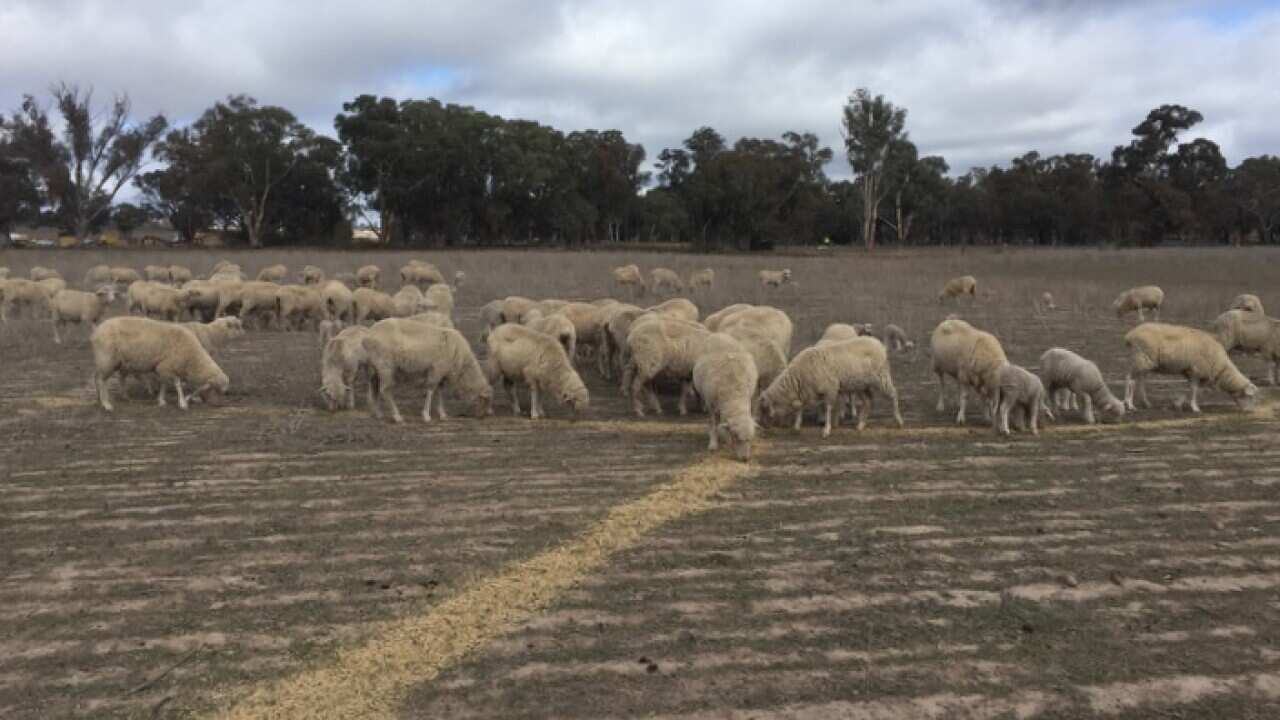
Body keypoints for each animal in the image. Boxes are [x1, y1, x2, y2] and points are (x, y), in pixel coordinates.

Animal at [91, 316, 230, 412]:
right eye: (216, 390)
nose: (220, 405)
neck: (192, 358)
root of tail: (96, 332)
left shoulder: (163, 368)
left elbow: (164, 384)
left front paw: (162, 400)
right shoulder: (167, 366)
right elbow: (177, 384)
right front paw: (182, 403)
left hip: (114, 361)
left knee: (100, 377)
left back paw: (108, 398)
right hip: (107, 359)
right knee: (102, 380)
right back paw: (106, 404)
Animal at [363, 318, 493, 423]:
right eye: (484, 401)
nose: (482, 417)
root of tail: (369, 334)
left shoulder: (442, 373)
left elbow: (440, 391)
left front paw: (442, 414)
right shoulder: (436, 369)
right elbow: (431, 390)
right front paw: (426, 415)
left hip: (375, 369)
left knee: (374, 389)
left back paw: (378, 413)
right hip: (385, 366)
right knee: (385, 390)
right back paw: (397, 416)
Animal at [693, 333, 758, 461]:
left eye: (750, 439)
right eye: (736, 437)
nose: (745, 459)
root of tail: (718, 334)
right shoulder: (711, 404)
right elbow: (713, 423)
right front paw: (713, 444)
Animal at [760, 337, 903, 436]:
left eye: (764, 409)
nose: (763, 426)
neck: (797, 378)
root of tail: (878, 343)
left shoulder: (830, 389)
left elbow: (827, 408)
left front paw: (827, 429)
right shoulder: (807, 392)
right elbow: (800, 408)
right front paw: (797, 426)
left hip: (881, 376)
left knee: (894, 394)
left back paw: (899, 420)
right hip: (861, 384)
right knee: (868, 401)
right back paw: (860, 425)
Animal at [1124, 322, 1258, 413]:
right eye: (1249, 396)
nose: (1250, 411)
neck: (1220, 368)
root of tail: (1130, 335)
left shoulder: (1193, 372)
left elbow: (1190, 389)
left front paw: (1178, 403)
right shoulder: (1196, 370)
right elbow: (1194, 389)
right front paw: (1195, 408)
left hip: (1144, 361)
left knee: (1139, 381)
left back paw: (1146, 403)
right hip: (1140, 358)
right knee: (1130, 380)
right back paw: (1129, 404)